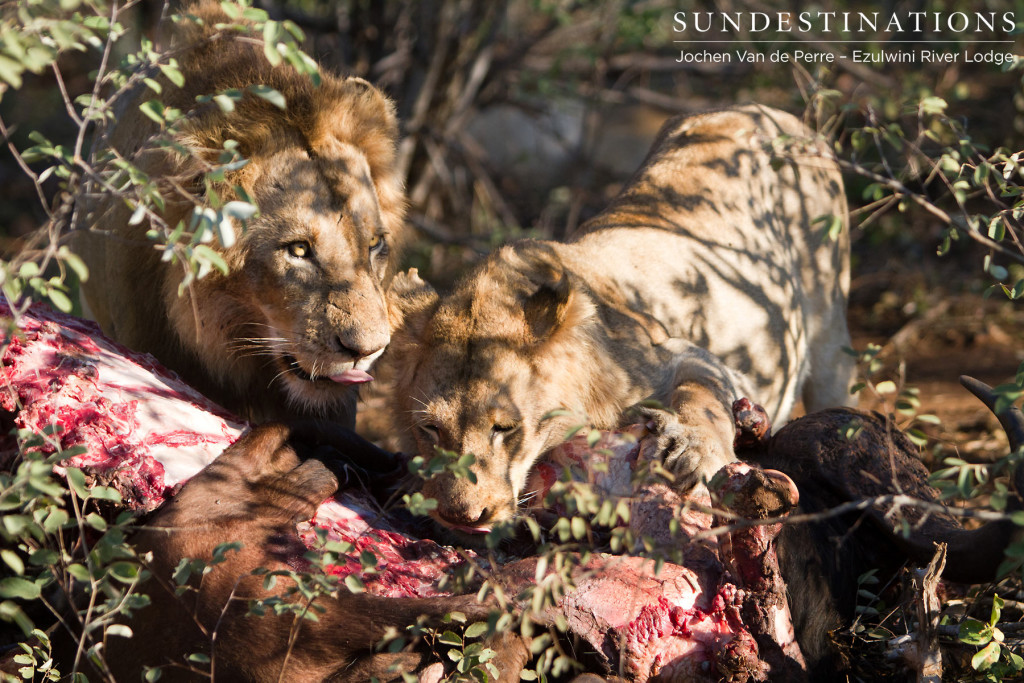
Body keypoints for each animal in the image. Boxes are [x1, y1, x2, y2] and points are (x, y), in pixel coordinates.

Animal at [387, 105, 851, 540]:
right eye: (430, 429)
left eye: (504, 428)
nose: (463, 516)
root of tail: (761, 109)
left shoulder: (684, 353)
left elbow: (702, 396)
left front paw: (694, 453)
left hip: (830, 325)